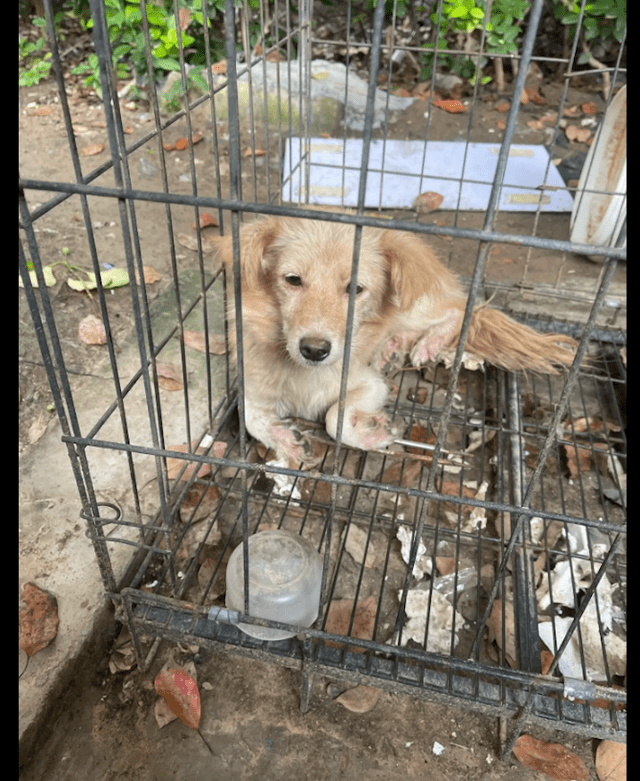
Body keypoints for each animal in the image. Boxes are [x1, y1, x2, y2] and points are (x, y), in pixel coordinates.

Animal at [216, 216, 580, 464]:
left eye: (355, 288)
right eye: (293, 280)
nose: (314, 350)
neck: (304, 373)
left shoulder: (370, 386)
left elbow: (335, 417)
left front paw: (372, 434)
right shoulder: (254, 383)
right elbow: (249, 416)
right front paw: (284, 439)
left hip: (414, 302)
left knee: (458, 310)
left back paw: (428, 343)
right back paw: (391, 349)